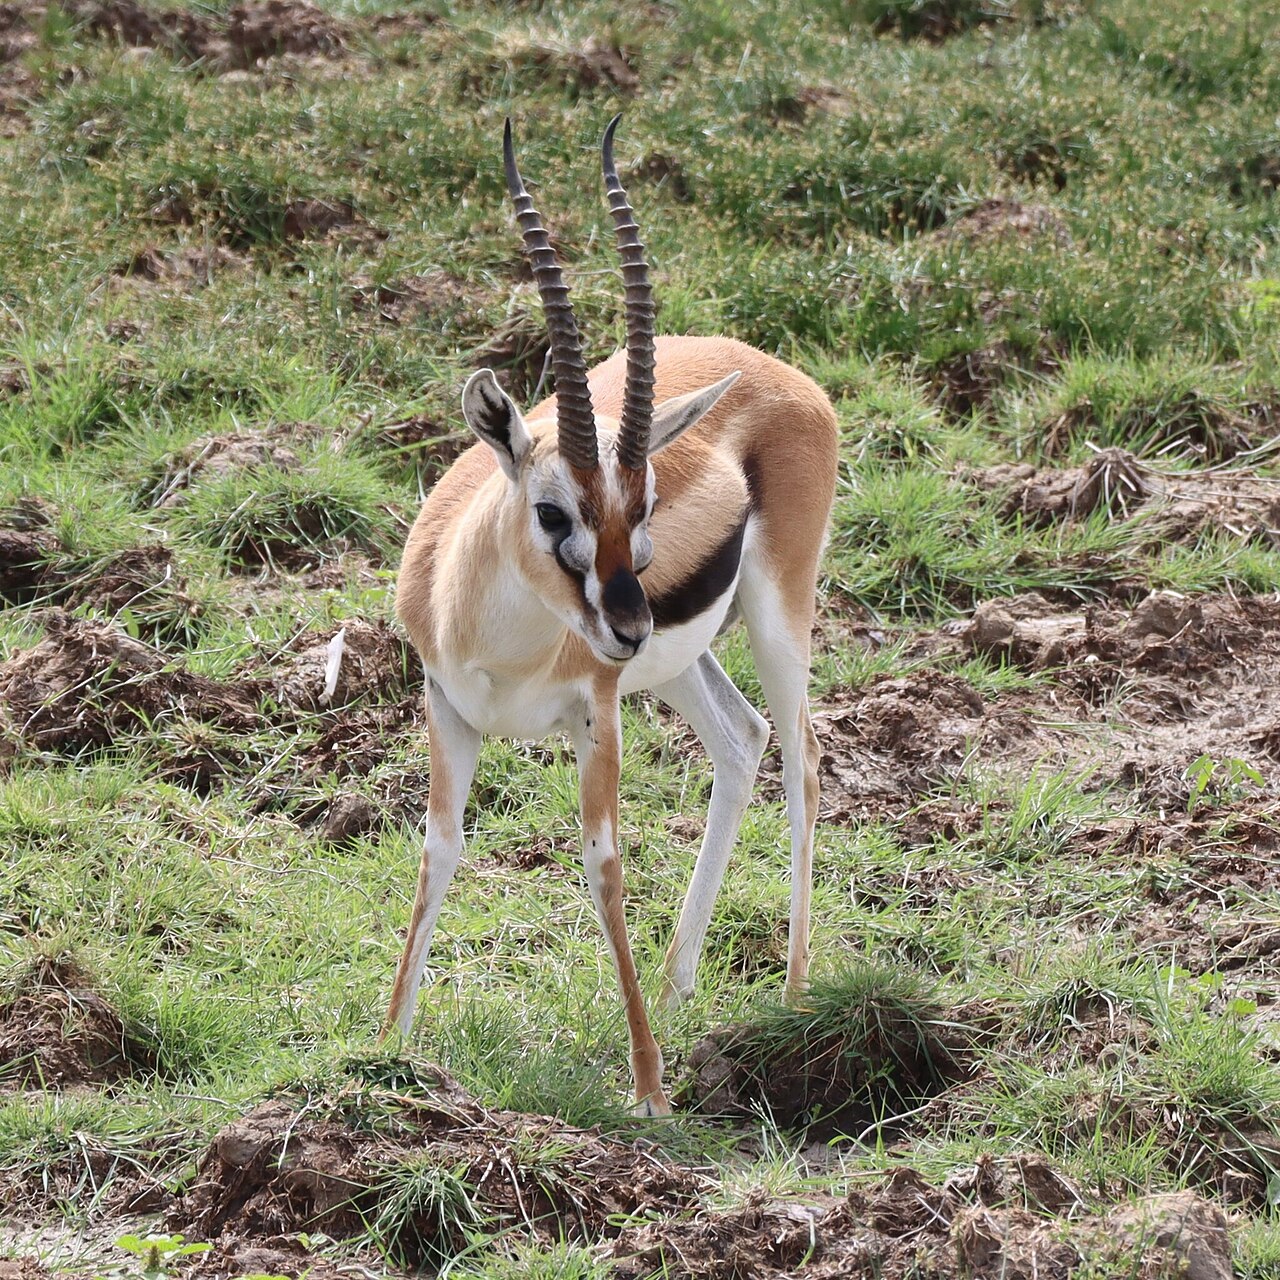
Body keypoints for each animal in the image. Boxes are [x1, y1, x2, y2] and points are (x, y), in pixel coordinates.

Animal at [383, 118, 838, 1116]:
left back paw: (793, 999)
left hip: (776, 620)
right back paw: (675, 988)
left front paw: (649, 1088)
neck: (503, 647)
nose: (626, 626)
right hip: (678, 667)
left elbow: (604, 864)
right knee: (743, 740)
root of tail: (789, 374)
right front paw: (386, 1044)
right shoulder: (445, 707)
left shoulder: (598, 716)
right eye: (553, 511)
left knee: (803, 759)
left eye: (648, 503)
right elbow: (440, 848)